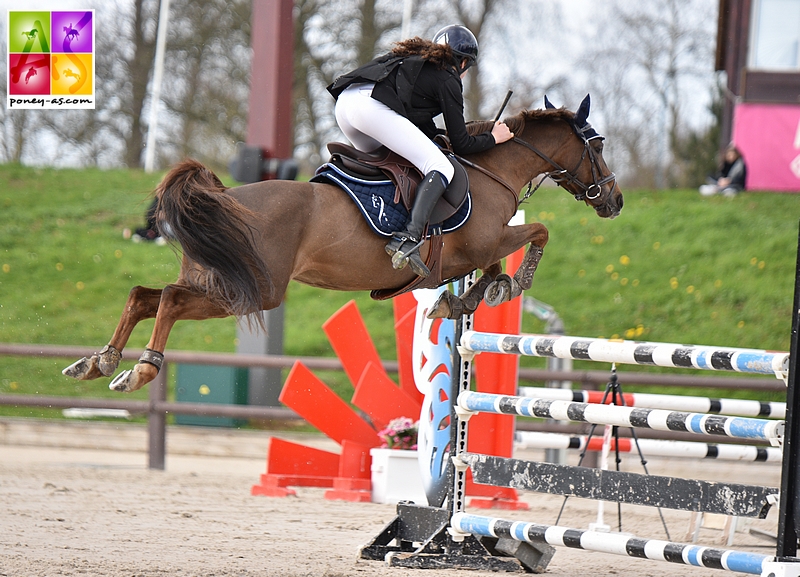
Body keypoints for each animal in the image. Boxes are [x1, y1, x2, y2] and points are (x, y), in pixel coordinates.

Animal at [64, 94, 624, 394]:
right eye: (597, 146)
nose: (614, 199)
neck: (491, 171)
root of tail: (223, 198)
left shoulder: (470, 254)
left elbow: (484, 272)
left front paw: (465, 299)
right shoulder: (485, 241)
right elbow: (536, 233)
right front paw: (507, 287)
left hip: (219, 278)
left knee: (145, 295)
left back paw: (99, 361)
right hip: (257, 290)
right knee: (171, 301)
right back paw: (139, 369)